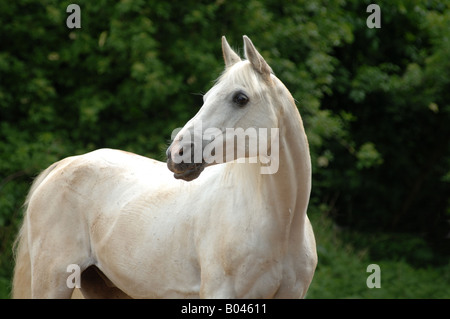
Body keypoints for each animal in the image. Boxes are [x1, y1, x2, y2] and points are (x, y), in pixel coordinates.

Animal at [13, 36, 316, 298]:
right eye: (206, 98)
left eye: (240, 98)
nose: (176, 154)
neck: (282, 225)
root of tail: (63, 165)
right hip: (53, 281)